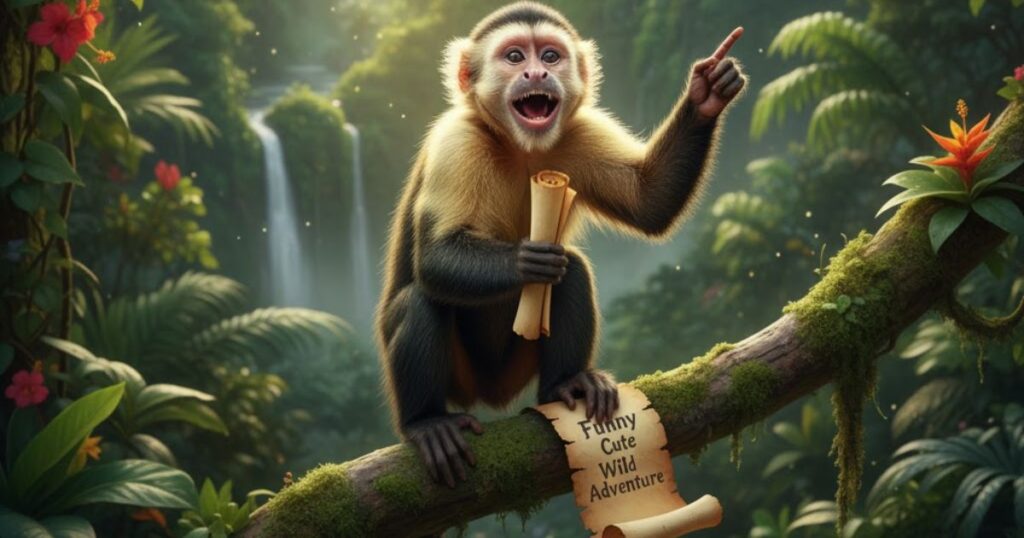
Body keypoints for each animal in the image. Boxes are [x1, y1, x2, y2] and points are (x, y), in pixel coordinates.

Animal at [375, 1, 746, 488]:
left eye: (550, 56)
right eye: (515, 57)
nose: (536, 73)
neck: (520, 146)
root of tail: (493, 395)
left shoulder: (578, 131)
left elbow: (648, 201)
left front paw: (705, 95)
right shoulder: (456, 141)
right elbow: (435, 259)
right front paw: (529, 262)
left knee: (574, 272)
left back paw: (566, 384)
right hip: (463, 379)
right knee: (422, 298)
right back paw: (426, 422)